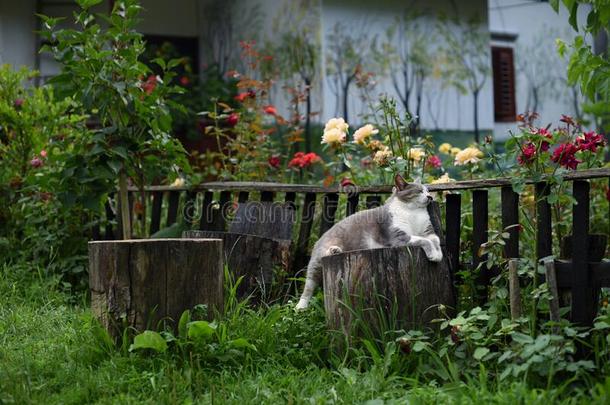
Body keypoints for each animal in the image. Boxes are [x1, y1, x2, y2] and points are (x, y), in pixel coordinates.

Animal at [294, 174, 442, 310]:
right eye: (419, 191)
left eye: (428, 191)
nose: (430, 197)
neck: (414, 213)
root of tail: (319, 239)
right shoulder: (398, 237)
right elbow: (425, 241)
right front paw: (433, 255)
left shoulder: (428, 231)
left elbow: (436, 240)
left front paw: (438, 254)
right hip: (317, 261)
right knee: (309, 283)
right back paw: (301, 306)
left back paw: (335, 250)